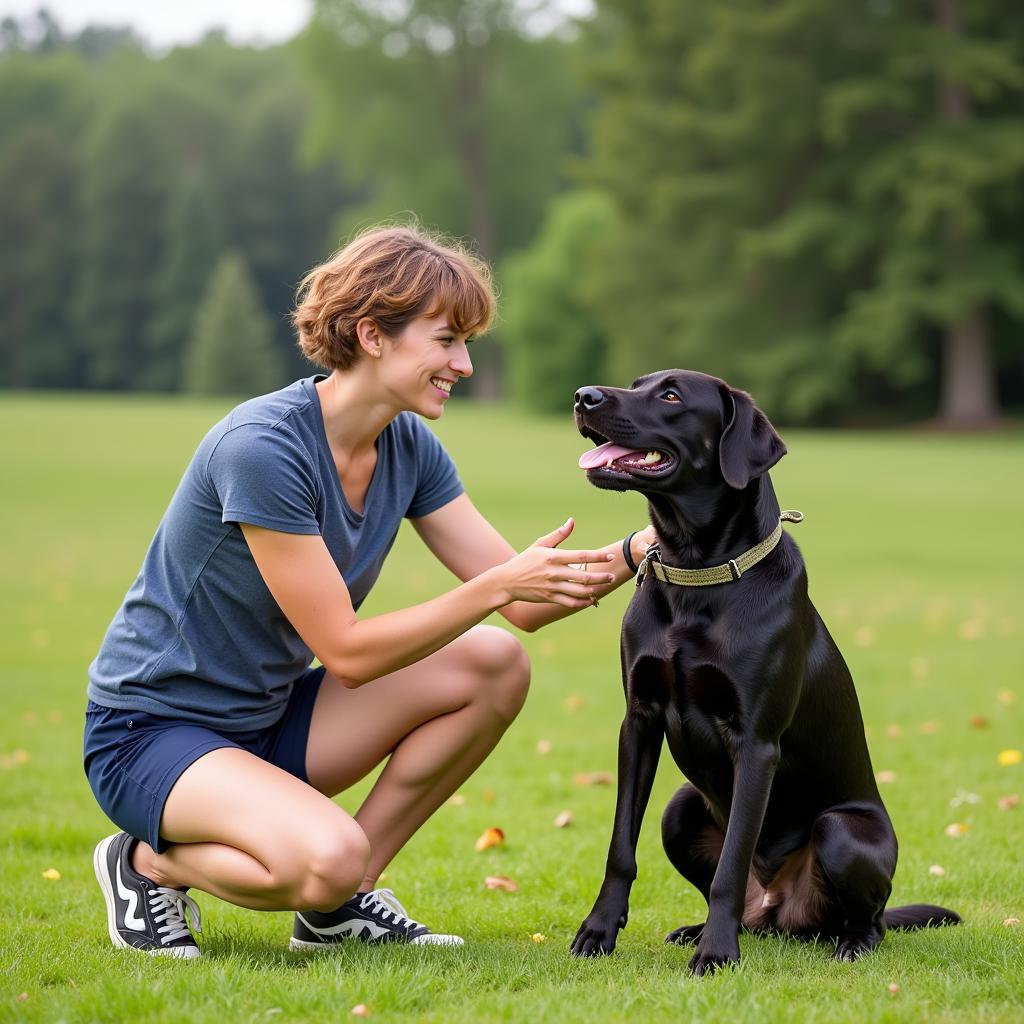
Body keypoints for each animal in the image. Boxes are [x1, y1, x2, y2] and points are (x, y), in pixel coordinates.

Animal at [573, 370, 954, 974]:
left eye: (672, 395)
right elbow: (620, 848)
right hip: (680, 810)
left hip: (844, 831)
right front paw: (599, 930)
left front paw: (715, 954)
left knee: (864, 919)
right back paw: (700, 927)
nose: (583, 397)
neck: (696, 572)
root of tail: (779, 908)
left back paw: (846, 943)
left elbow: (731, 866)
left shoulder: (755, 742)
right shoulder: (639, 720)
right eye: (637, 383)